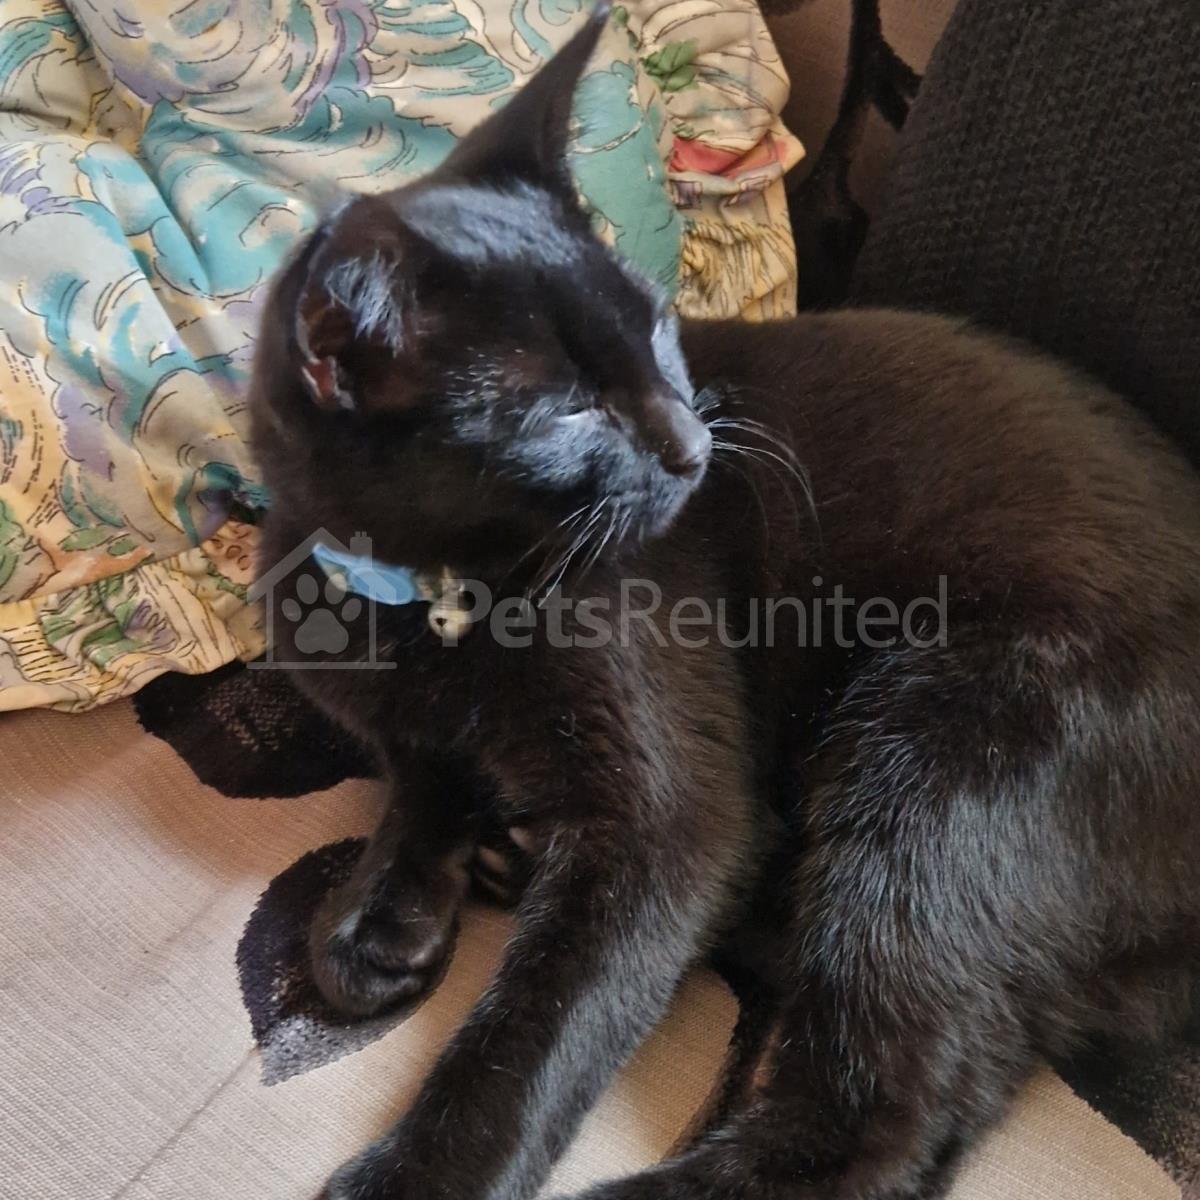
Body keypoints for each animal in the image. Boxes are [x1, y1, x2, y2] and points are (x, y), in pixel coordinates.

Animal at [249, 6, 1200, 1199]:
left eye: (659, 324)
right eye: (564, 412)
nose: (693, 442)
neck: (438, 597)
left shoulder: (672, 824)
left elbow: (538, 1032)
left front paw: (420, 1173)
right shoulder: (391, 708)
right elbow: (417, 772)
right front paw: (376, 915)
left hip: (937, 750)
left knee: (890, 1111)